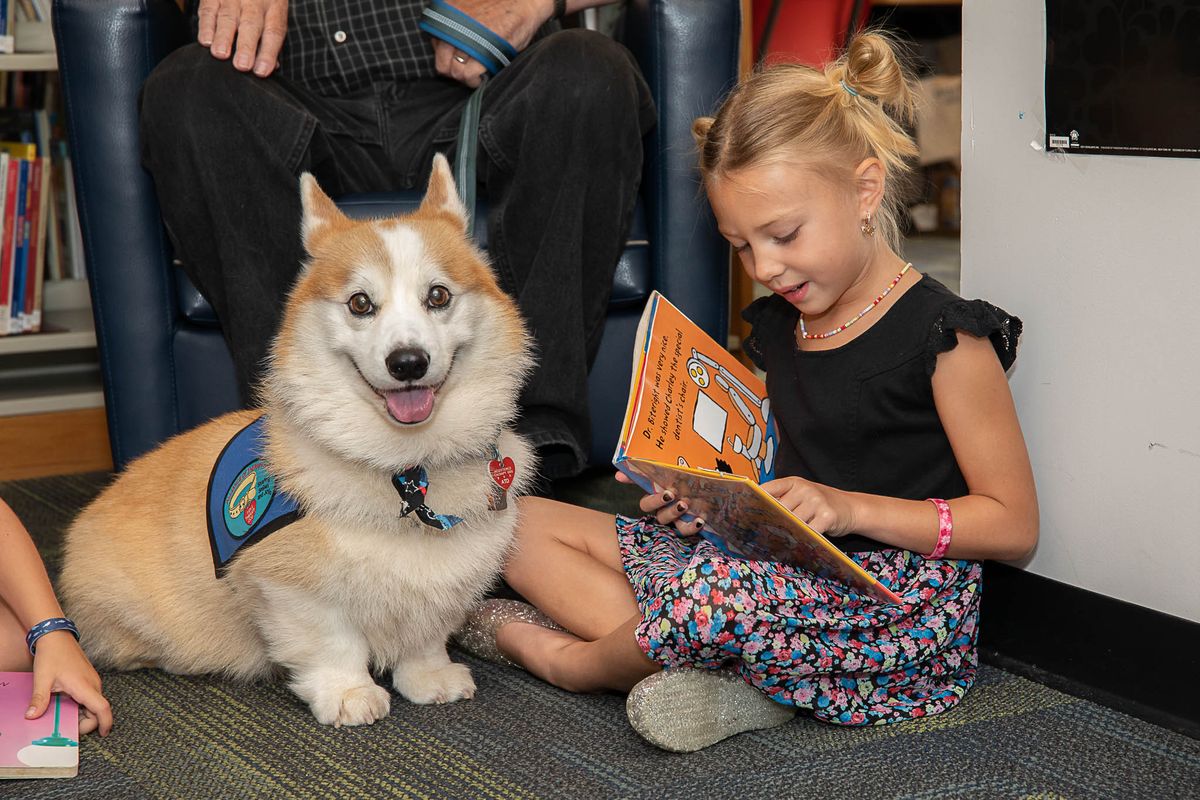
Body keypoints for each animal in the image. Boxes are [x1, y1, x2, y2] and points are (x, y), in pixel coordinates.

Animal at [58, 154, 537, 724]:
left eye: (438, 295)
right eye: (360, 303)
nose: (408, 363)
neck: (406, 470)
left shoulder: (444, 583)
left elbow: (424, 636)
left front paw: (430, 677)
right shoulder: (290, 588)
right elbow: (331, 642)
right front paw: (349, 694)